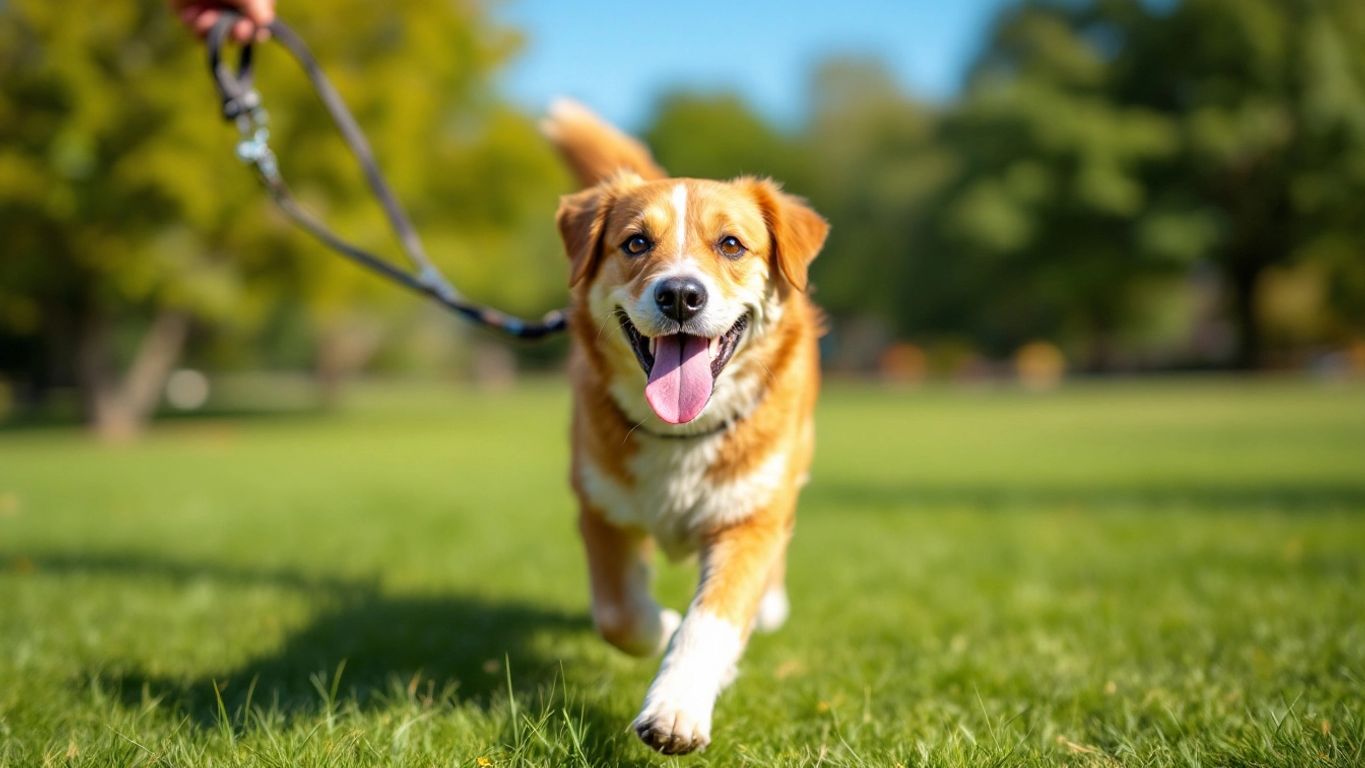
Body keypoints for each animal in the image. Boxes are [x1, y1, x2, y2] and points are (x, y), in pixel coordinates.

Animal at [537, 98, 824, 752]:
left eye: (732, 244)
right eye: (636, 242)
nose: (681, 295)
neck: (682, 435)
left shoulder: (748, 519)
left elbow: (710, 620)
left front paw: (677, 707)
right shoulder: (602, 510)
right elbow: (619, 614)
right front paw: (662, 622)